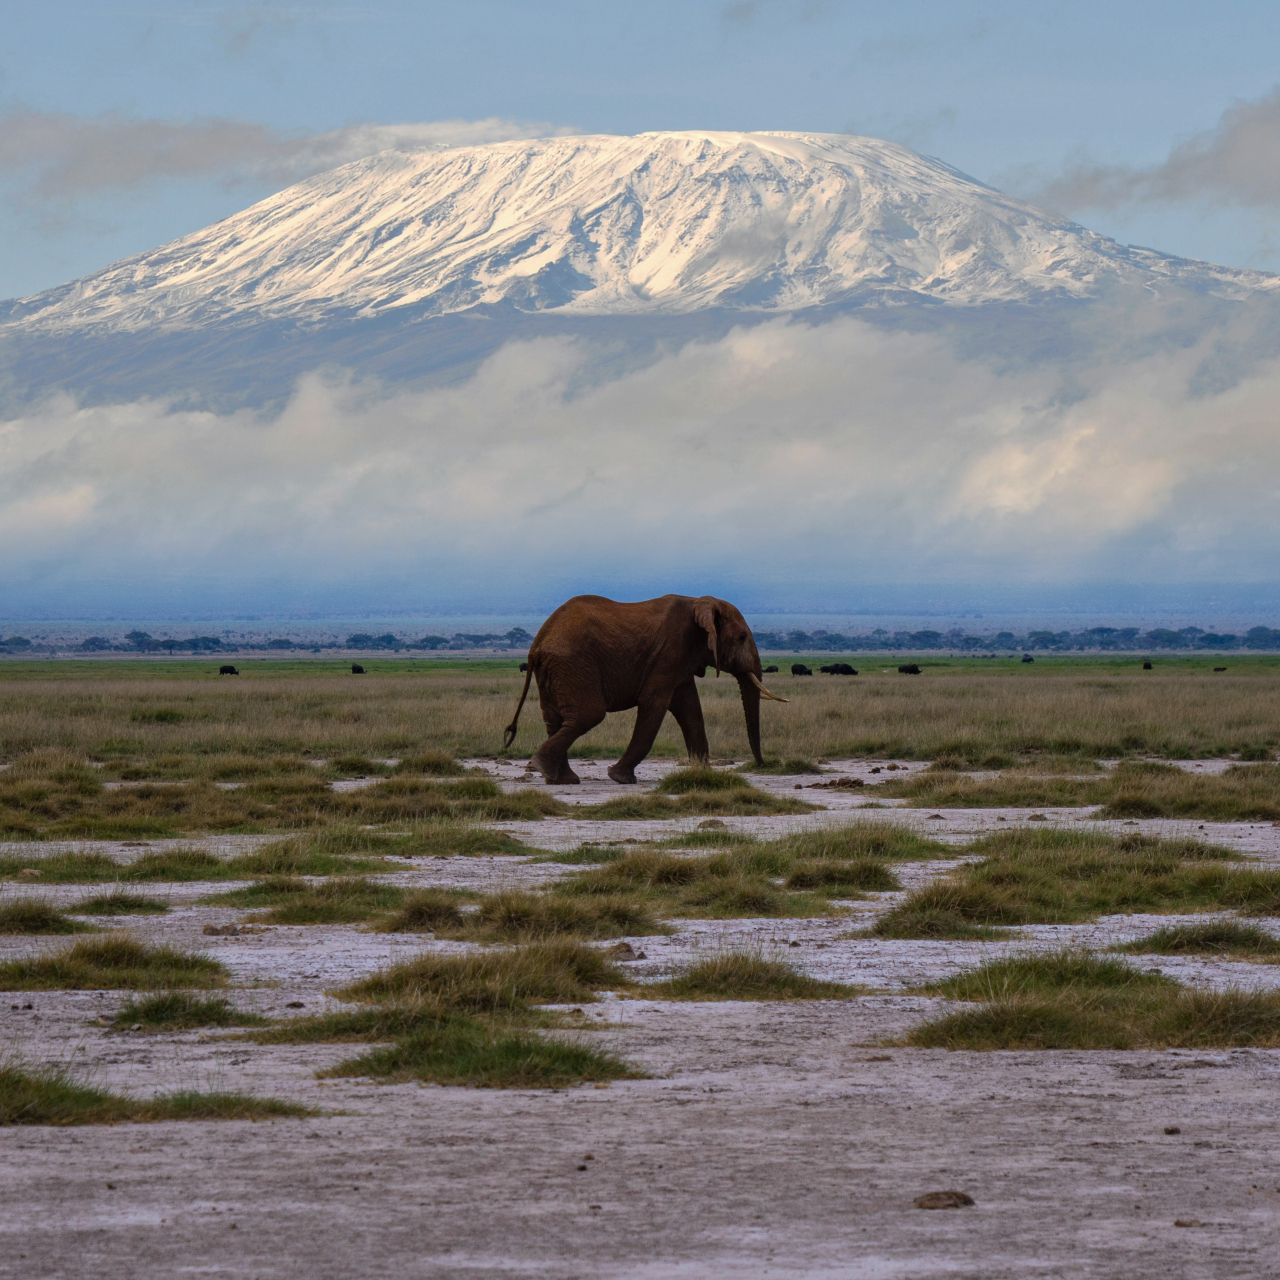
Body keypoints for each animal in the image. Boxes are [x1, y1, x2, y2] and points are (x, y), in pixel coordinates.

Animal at [503, 594, 787, 785]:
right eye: (741, 638)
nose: (761, 765)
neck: (700, 602)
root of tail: (537, 642)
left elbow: (691, 710)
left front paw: (703, 774)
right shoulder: (669, 653)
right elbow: (654, 705)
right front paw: (619, 778)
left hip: (554, 670)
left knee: (556, 719)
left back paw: (560, 778)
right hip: (573, 665)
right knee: (589, 715)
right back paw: (545, 768)